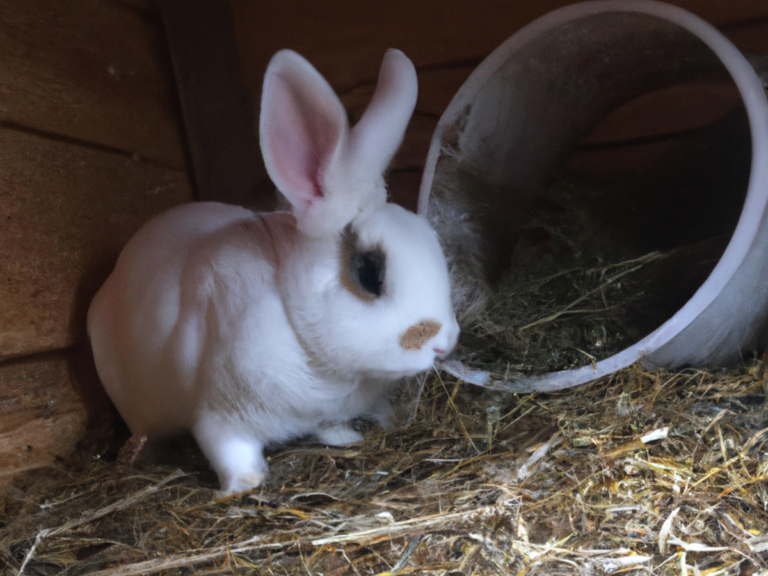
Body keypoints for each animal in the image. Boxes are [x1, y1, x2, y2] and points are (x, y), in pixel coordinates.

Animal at [87, 47, 460, 492]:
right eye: (370, 275)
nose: (445, 343)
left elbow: (330, 428)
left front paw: (346, 438)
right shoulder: (219, 415)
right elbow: (231, 450)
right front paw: (245, 485)